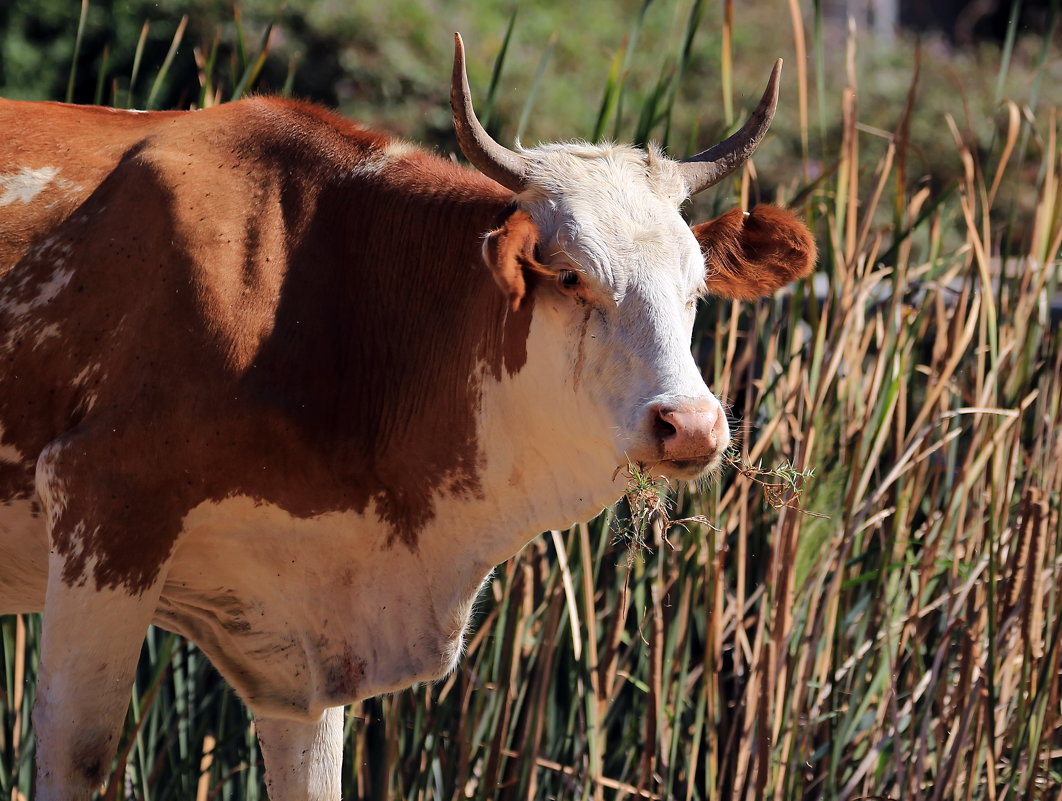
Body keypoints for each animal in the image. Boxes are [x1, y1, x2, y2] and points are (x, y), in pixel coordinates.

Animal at [0, 32, 811, 798]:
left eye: (696, 287)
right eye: (571, 277)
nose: (692, 425)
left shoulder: (297, 647)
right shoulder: (104, 502)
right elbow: (76, 751)